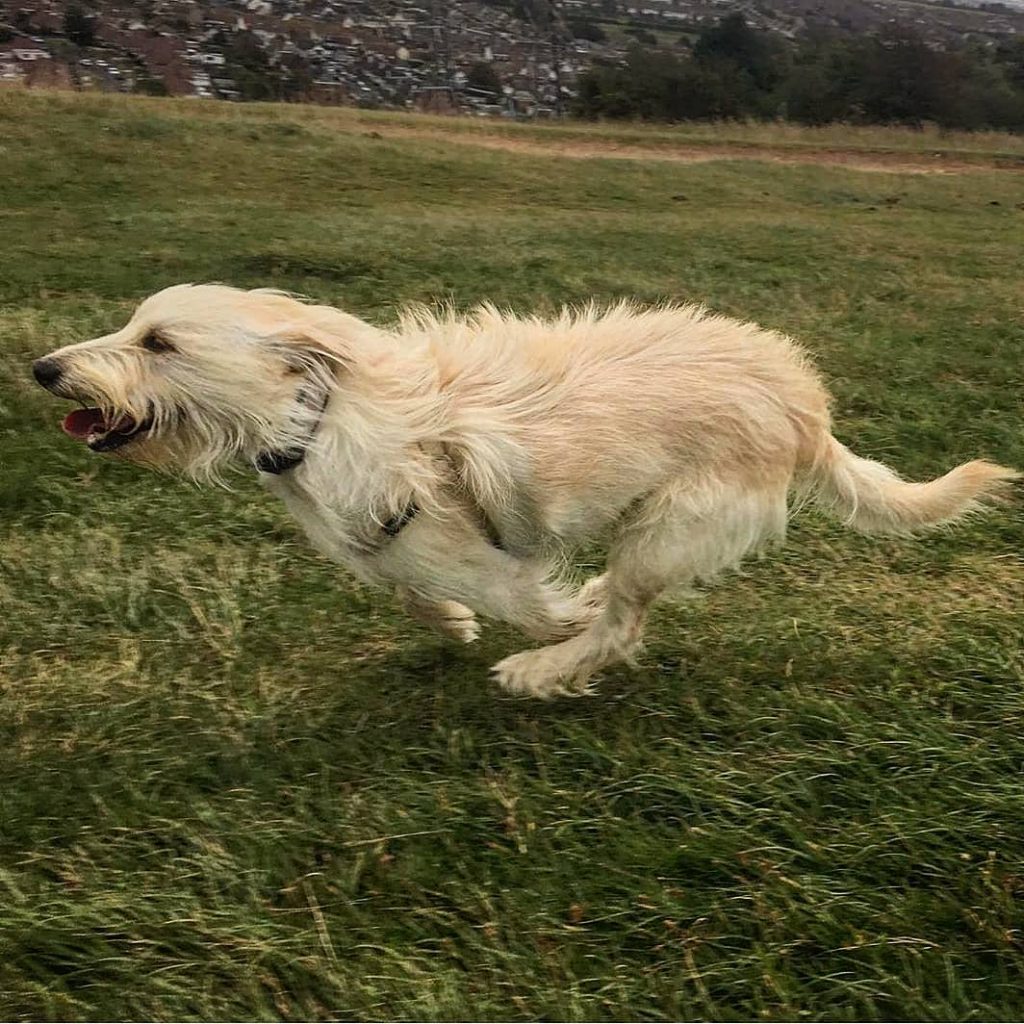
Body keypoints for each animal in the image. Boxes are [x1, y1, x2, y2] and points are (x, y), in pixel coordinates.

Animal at [32, 282, 1015, 696]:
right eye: (134, 326)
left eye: (159, 343)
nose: (42, 369)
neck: (318, 419)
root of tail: (805, 408)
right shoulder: (384, 549)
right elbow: (409, 590)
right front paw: (449, 624)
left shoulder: (485, 557)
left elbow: (534, 606)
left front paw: (546, 633)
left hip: (669, 526)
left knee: (623, 623)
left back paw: (545, 670)